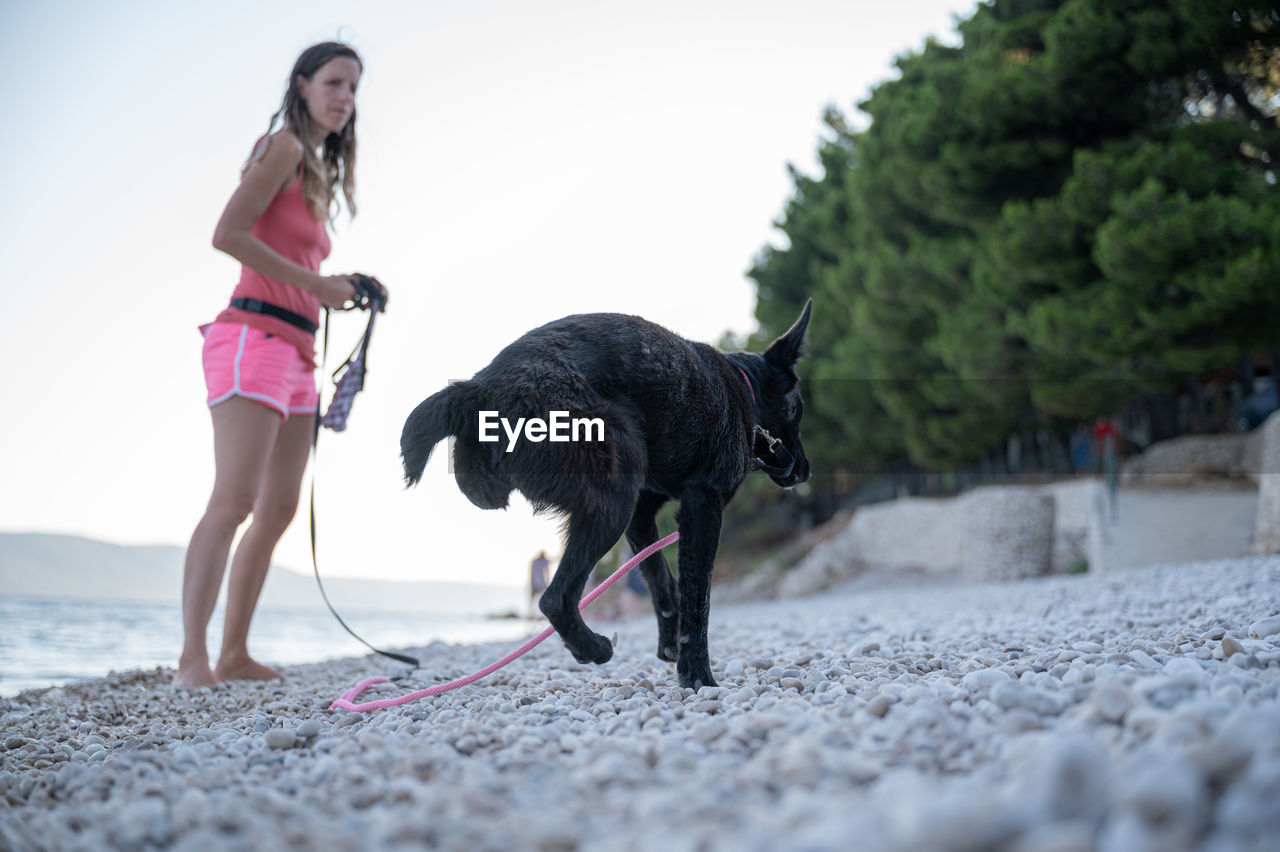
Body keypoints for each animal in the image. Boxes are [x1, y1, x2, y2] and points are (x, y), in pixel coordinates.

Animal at [401, 301, 808, 685]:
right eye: (797, 410)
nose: (805, 470)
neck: (743, 386)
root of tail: (480, 388)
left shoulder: (643, 516)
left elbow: (662, 582)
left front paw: (670, 643)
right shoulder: (703, 506)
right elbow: (698, 598)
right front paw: (697, 675)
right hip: (615, 497)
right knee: (556, 599)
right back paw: (593, 648)